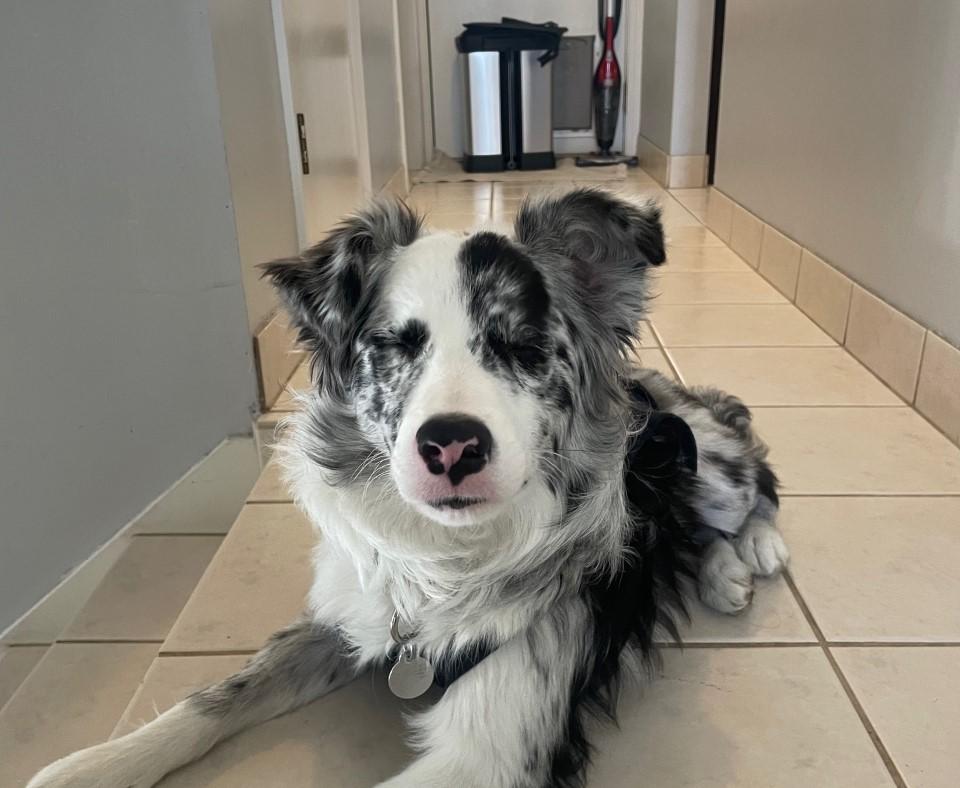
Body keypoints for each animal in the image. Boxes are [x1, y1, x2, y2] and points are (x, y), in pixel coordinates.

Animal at [30, 191, 792, 788]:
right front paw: (90, 765)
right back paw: (722, 572)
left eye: (524, 347)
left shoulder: (491, 746)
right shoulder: (347, 613)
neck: (446, 562)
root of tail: (663, 383)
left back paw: (754, 553)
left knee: (756, 475)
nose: (451, 444)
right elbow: (220, 692)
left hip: (710, 460)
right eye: (395, 344)